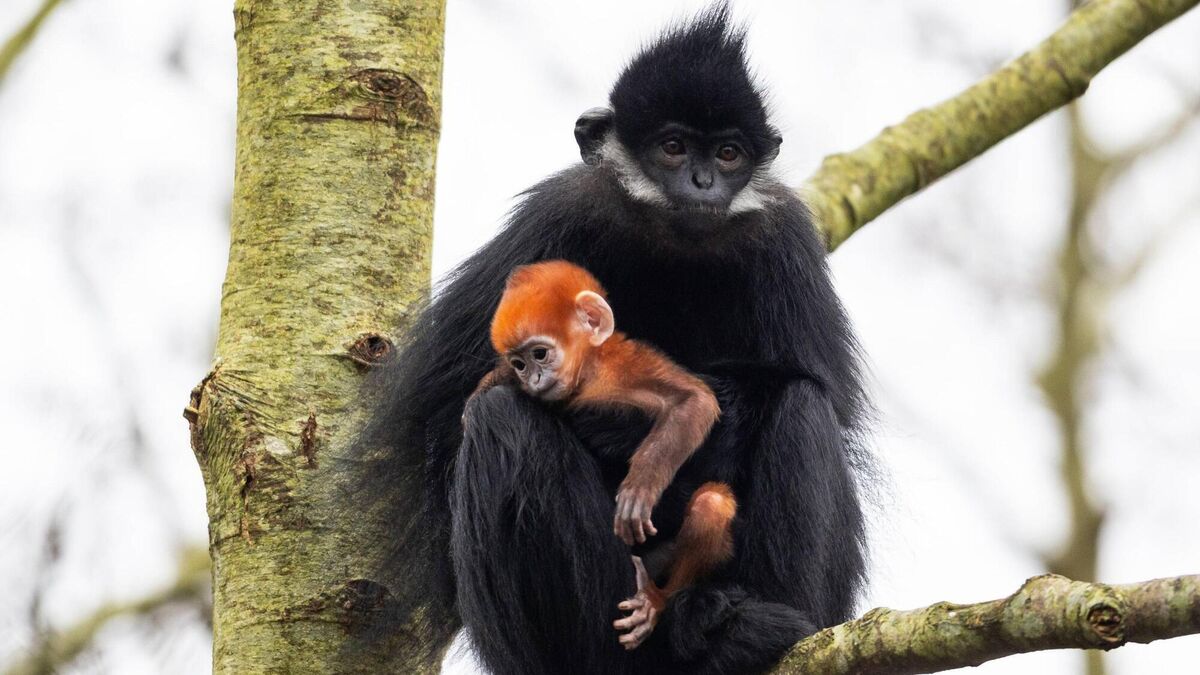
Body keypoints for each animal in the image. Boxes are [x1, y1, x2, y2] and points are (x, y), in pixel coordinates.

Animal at [357, 5, 871, 674]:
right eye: (672, 147)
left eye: (729, 153)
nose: (703, 181)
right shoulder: (558, 215)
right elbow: (441, 421)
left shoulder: (784, 239)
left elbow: (829, 403)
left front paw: (624, 426)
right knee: (498, 418)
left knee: (801, 405)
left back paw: (744, 628)